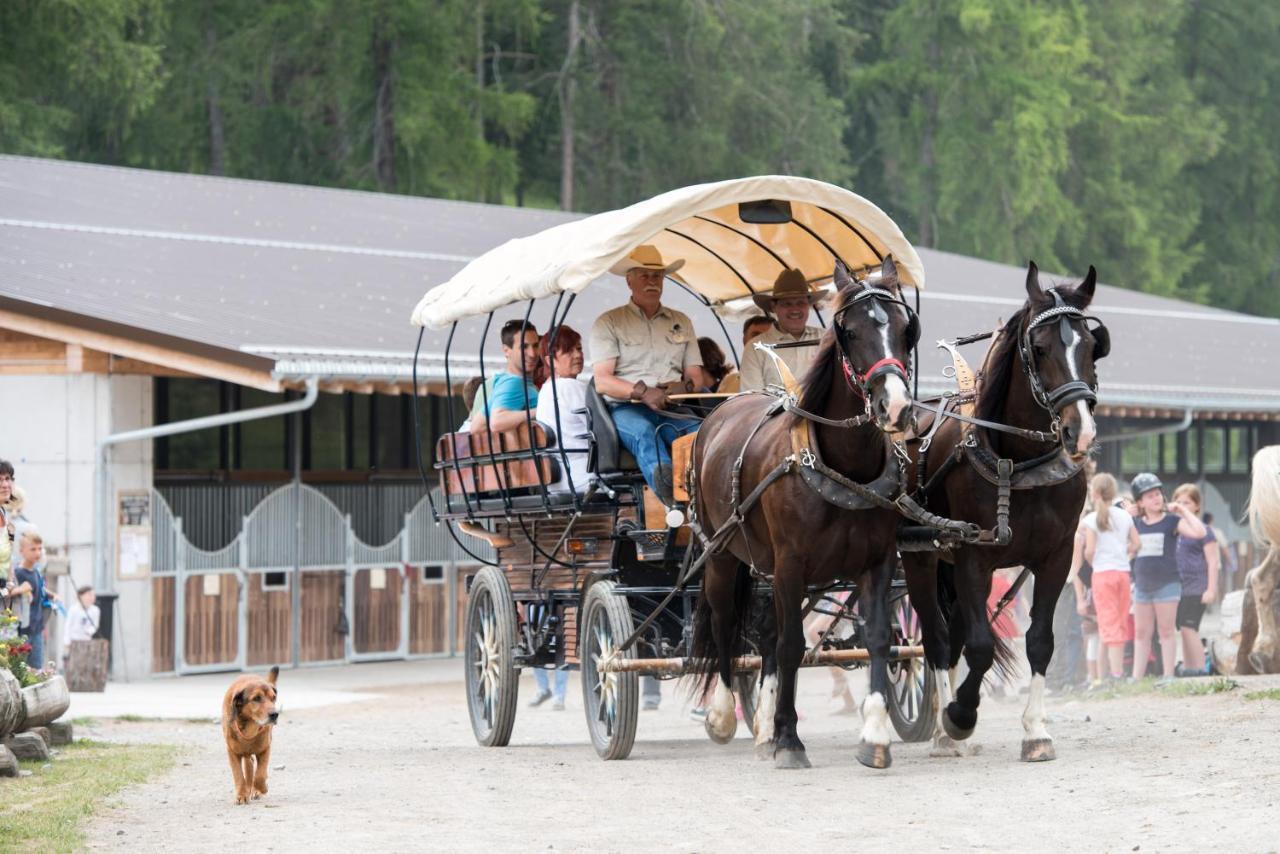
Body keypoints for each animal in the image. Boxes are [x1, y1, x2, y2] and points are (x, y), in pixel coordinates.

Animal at [221, 665, 279, 809]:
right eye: (256, 698)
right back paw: (247, 789)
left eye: (273, 698)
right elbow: (238, 775)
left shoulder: (265, 749)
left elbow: (260, 775)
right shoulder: (232, 752)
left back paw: (255, 789)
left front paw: (262, 788)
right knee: (249, 766)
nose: (275, 714)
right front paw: (241, 795)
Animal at [696, 257, 916, 773]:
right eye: (849, 332)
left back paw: (762, 727)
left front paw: (874, 736)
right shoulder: (791, 564)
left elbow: (880, 638)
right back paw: (724, 714)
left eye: (905, 328)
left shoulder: (877, 563)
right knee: (724, 625)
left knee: (766, 633)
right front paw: (789, 739)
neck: (843, 468)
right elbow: (792, 646)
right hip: (723, 555)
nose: (895, 407)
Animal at [901, 265, 1111, 763]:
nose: (1080, 432)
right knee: (937, 638)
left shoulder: (1056, 558)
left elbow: (1039, 641)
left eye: (1091, 345)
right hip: (922, 556)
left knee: (955, 633)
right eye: (1040, 348)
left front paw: (1036, 731)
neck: (1021, 461)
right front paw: (959, 715)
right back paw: (943, 731)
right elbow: (978, 647)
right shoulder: (972, 556)